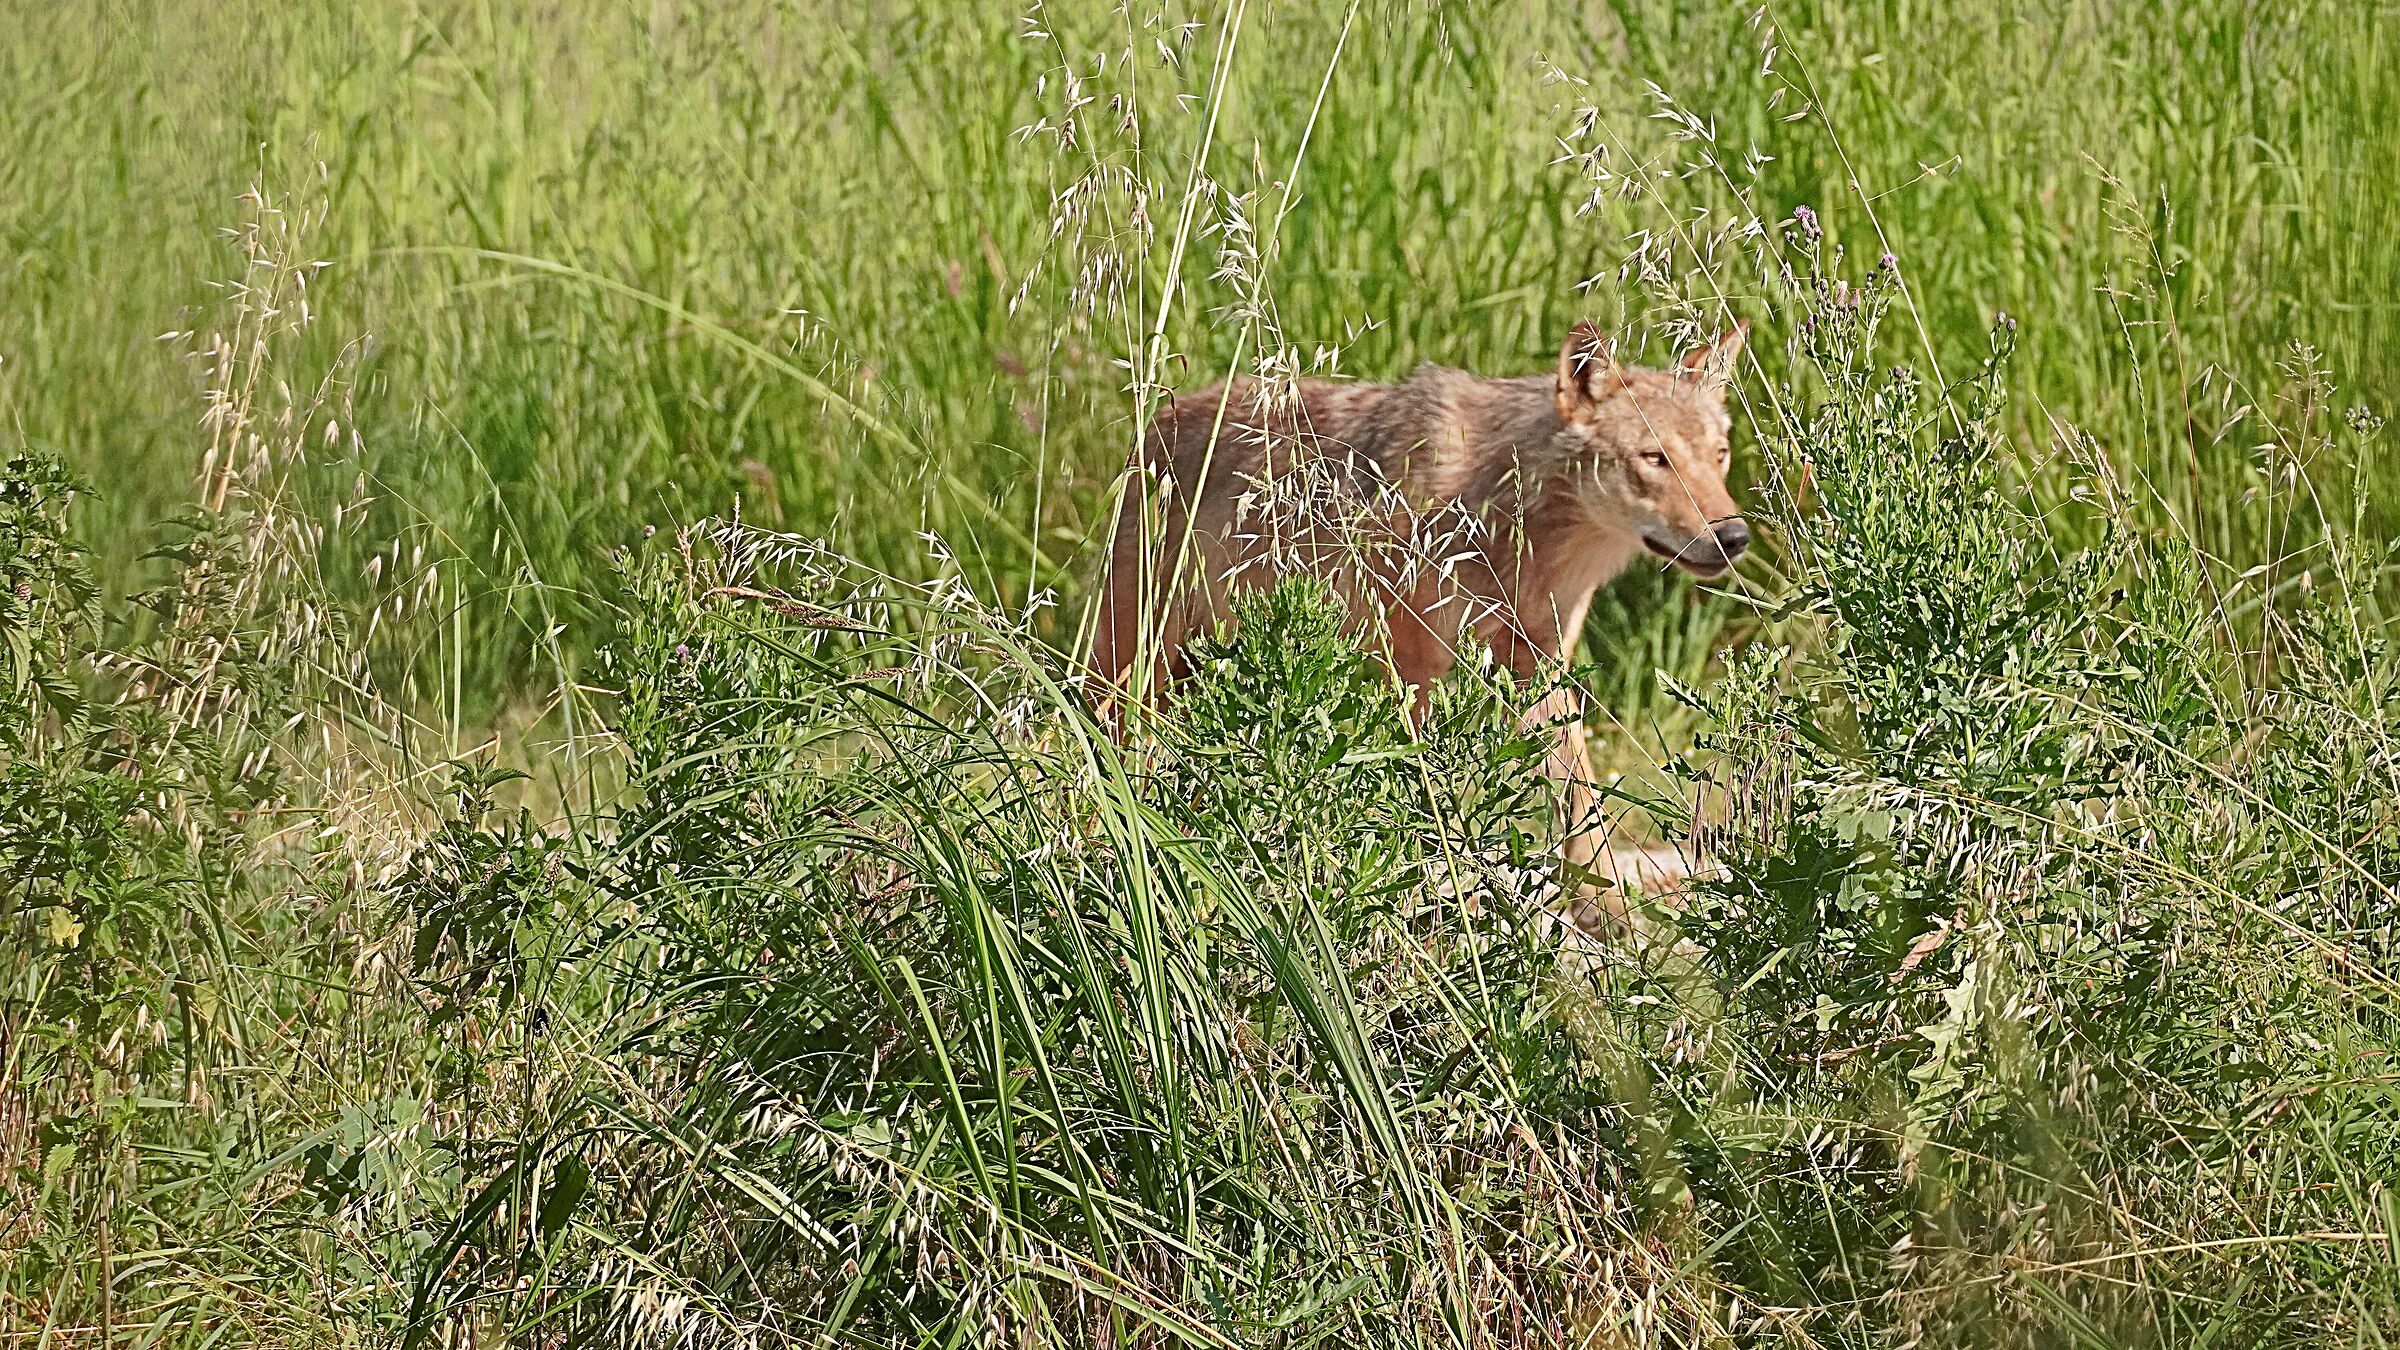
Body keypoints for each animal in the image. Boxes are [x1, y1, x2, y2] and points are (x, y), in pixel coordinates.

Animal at [1091, 320, 1751, 927]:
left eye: (1718, 456)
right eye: (1653, 458)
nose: (1734, 536)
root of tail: (1157, 419)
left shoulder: (1541, 664)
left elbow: (1580, 798)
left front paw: (1604, 907)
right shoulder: (1412, 668)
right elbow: (1422, 795)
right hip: (1136, 667)